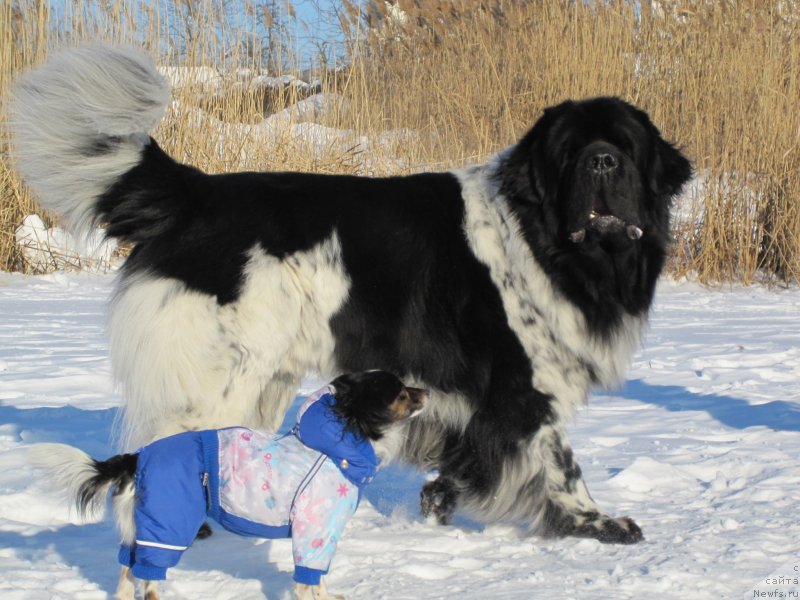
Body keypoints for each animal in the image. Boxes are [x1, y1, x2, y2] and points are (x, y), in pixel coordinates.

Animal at [9, 45, 692, 544]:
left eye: (625, 146)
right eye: (570, 151)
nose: (602, 162)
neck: (546, 240)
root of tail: (195, 195)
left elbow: (470, 456)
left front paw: (437, 503)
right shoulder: (525, 386)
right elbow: (559, 459)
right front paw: (598, 523)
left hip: (265, 381)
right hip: (218, 379)